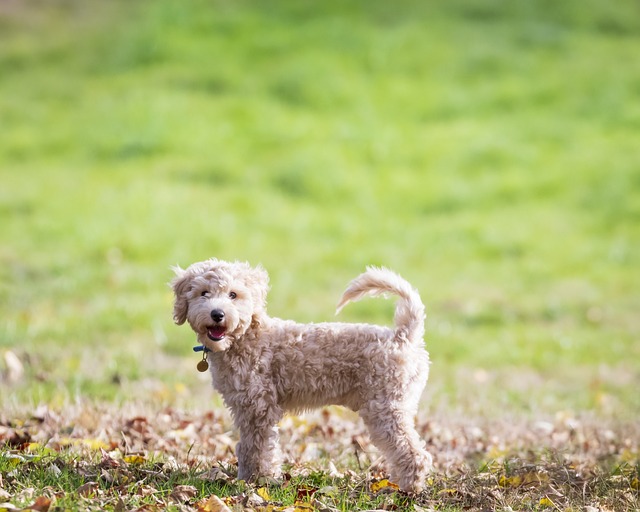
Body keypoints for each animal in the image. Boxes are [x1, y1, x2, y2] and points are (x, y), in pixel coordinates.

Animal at [170, 260, 432, 492]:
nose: (217, 314)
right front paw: (247, 478)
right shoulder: (245, 407)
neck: (245, 337)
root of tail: (403, 336)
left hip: (385, 407)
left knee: (414, 452)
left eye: (233, 294)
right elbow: (246, 446)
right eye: (204, 293)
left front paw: (258, 481)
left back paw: (407, 489)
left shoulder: (259, 407)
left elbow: (257, 447)